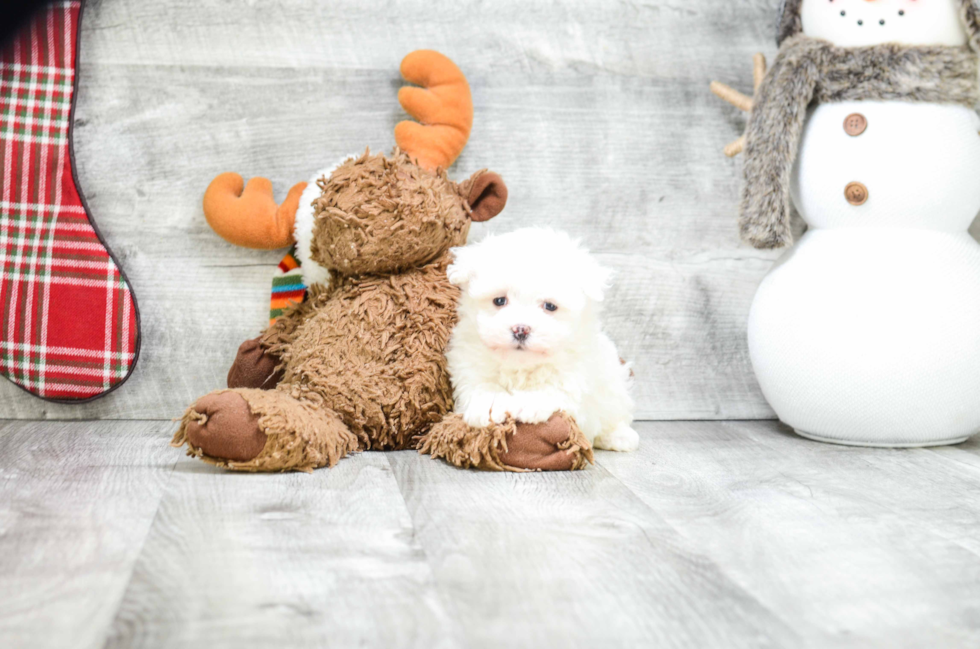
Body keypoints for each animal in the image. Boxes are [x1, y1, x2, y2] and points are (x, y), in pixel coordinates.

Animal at [446, 228, 644, 450]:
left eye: (550, 306)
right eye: (499, 300)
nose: (520, 329)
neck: (521, 366)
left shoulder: (575, 372)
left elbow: (554, 386)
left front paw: (527, 402)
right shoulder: (469, 361)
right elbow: (482, 383)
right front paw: (491, 403)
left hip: (614, 384)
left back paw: (620, 436)